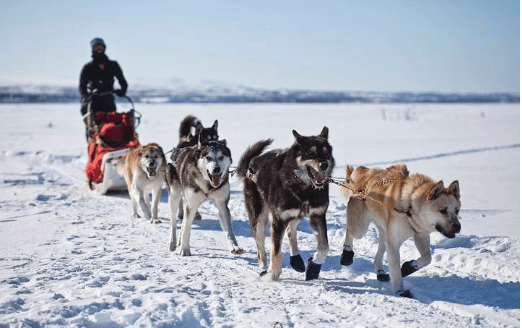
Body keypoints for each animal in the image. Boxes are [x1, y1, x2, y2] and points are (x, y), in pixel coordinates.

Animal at [237, 127, 334, 280]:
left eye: (327, 153)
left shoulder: (318, 215)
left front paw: (314, 267)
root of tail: (251, 165)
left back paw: (296, 259)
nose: (324, 165)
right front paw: (274, 273)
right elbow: (275, 250)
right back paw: (263, 269)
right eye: (310, 153)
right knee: (260, 247)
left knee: (290, 230)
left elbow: (324, 246)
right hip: (259, 218)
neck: (305, 190)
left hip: (294, 214)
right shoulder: (278, 220)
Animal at [342, 164, 460, 298]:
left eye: (457, 211)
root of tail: (363, 172)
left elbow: (427, 258)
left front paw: (409, 267)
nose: (458, 227)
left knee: (379, 252)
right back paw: (346, 254)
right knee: (349, 232)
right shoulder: (394, 243)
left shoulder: (421, 235)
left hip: (385, 233)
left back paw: (380, 272)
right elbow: (395, 269)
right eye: (443, 211)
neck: (409, 208)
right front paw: (400, 290)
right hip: (360, 229)